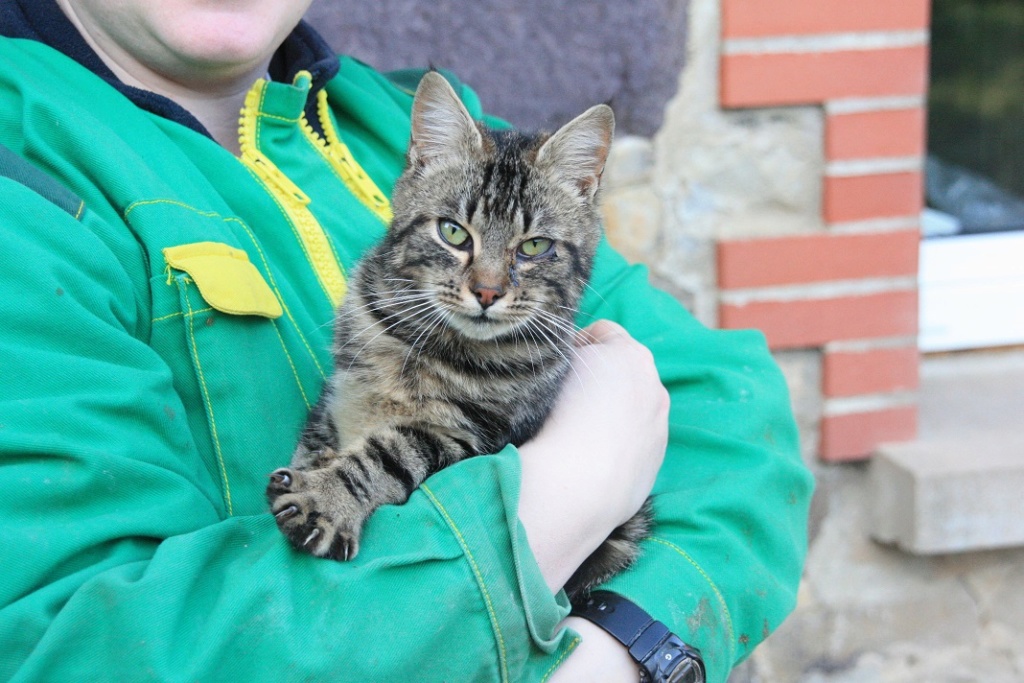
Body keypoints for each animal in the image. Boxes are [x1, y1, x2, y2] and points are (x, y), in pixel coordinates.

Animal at [264, 72, 647, 598]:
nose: (487, 291)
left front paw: (328, 497)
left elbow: (391, 452)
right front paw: (313, 467)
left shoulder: (474, 438)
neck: (425, 343)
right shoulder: (340, 393)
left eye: (534, 247)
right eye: (453, 232)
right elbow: (318, 436)